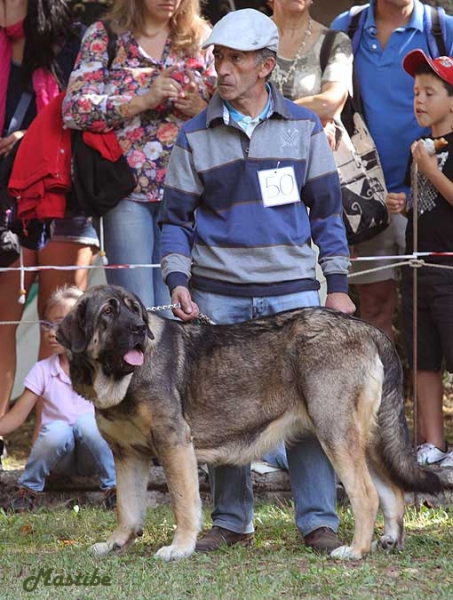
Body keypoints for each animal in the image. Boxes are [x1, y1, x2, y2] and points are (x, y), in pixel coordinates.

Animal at [57, 284, 452, 560]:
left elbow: (184, 504)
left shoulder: (174, 445)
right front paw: (114, 544)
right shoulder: (127, 456)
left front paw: (180, 548)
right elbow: (127, 509)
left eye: (135, 309)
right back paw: (389, 540)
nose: (140, 328)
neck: (120, 381)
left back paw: (355, 550)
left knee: (366, 496)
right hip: (364, 438)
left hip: (335, 432)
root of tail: (368, 329)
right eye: (109, 311)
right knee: (392, 490)